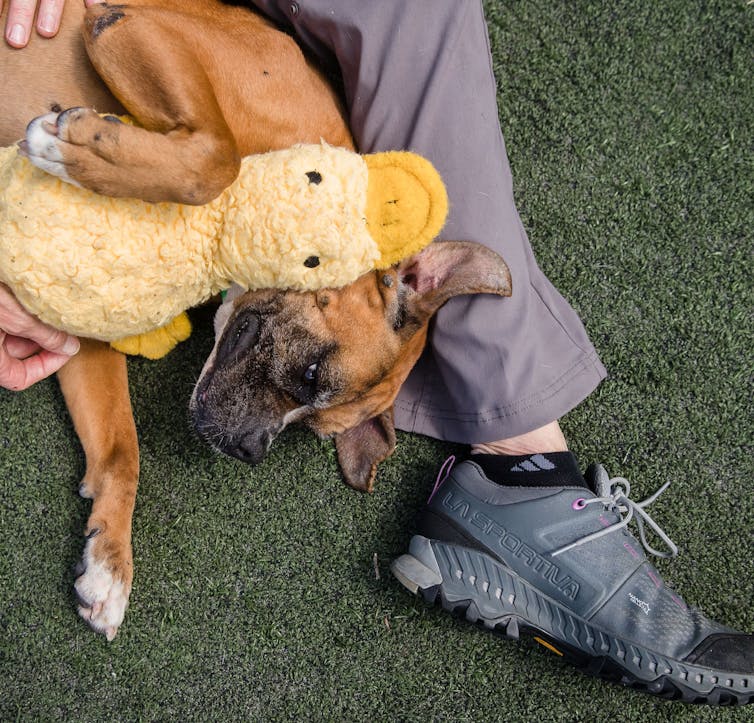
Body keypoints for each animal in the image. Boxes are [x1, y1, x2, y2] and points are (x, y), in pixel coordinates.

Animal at [1, 1, 512, 644]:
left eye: (311, 426)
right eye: (312, 372)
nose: (251, 450)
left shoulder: (83, 315)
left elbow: (121, 449)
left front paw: (108, 560)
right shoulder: (130, 22)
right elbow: (212, 160)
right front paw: (72, 145)